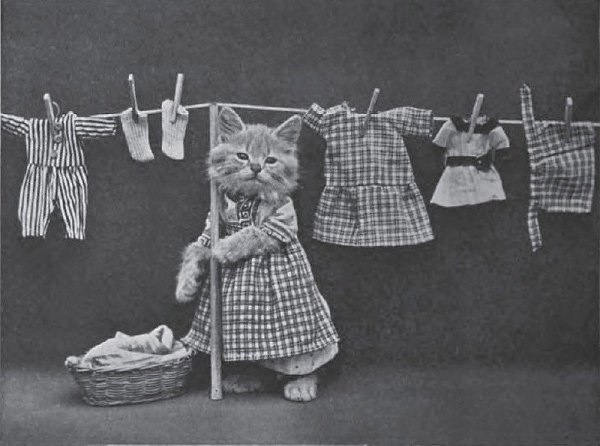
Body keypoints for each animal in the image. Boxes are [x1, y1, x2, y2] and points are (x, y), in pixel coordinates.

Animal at [175, 107, 339, 402]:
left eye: (270, 160)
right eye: (242, 155)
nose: (255, 167)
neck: (246, 198)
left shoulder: (279, 226)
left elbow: (249, 234)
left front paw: (224, 249)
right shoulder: (210, 227)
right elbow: (194, 249)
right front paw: (186, 287)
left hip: (310, 352)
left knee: (310, 365)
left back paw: (301, 385)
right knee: (263, 368)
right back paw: (246, 378)